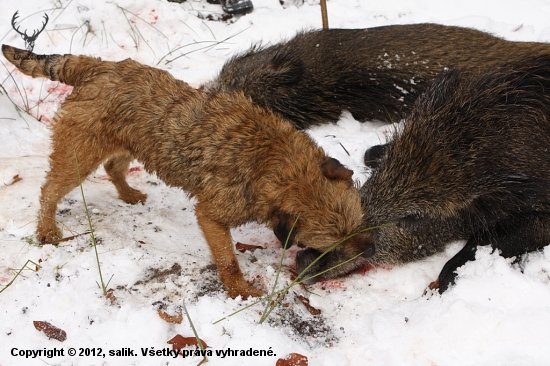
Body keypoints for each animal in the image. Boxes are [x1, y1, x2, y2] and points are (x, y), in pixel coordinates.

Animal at [2, 44, 374, 298]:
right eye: (332, 246)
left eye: (359, 224)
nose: (369, 250)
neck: (272, 157)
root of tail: (96, 66)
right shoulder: (212, 216)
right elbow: (227, 258)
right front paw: (239, 290)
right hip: (80, 153)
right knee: (50, 190)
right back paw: (47, 229)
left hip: (128, 142)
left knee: (112, 166)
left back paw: (128, 193)